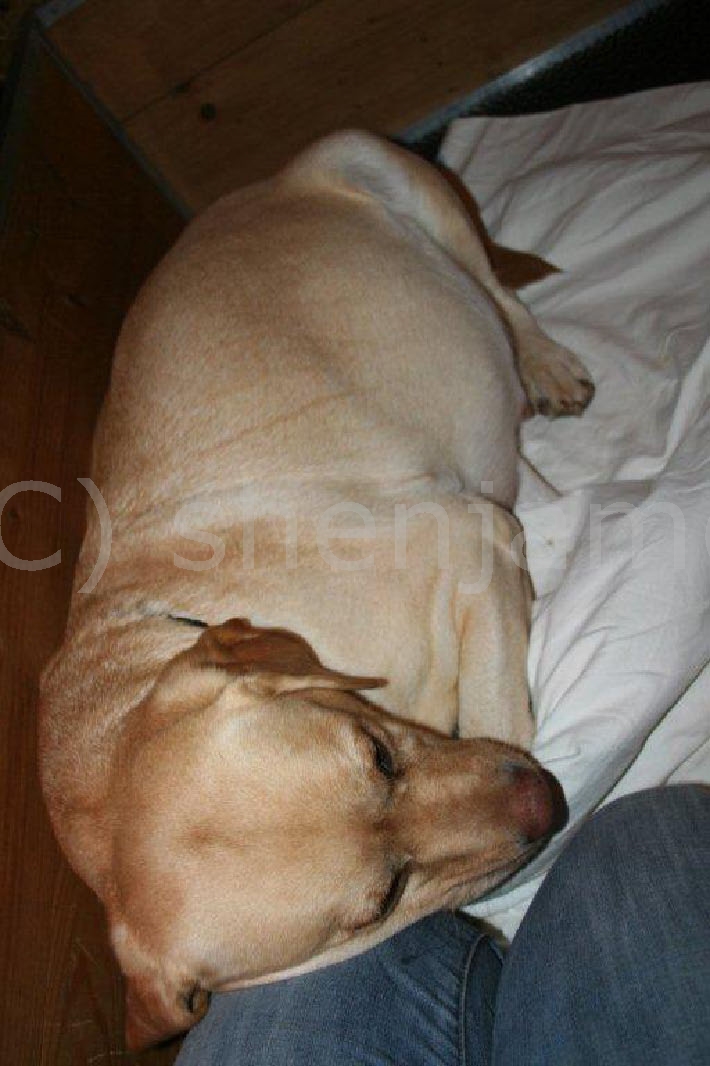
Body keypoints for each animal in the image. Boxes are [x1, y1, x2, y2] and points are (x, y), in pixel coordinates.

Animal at [39, 131, 592, 1050]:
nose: (548, 802)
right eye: (384, 899)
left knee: (497, 289)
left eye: (379, 756)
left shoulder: (469, 532)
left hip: (383, 168)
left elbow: (495, 707)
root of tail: (264, 185)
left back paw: (548, 362)